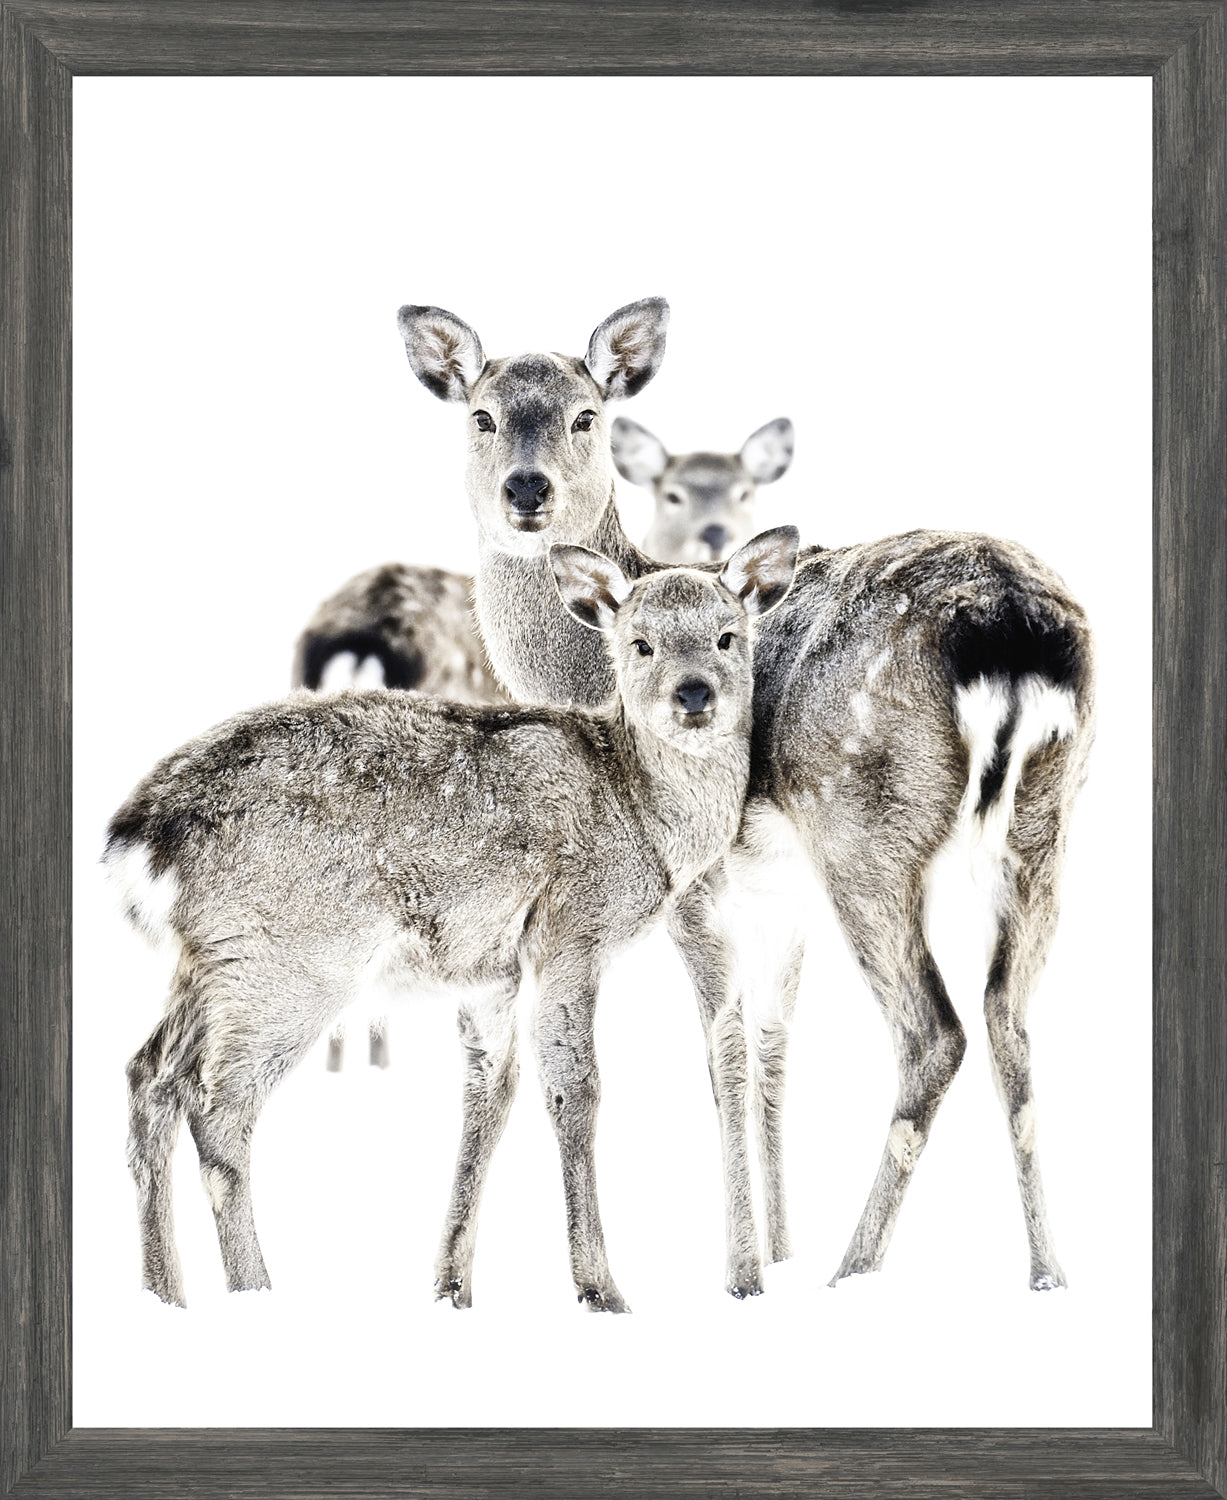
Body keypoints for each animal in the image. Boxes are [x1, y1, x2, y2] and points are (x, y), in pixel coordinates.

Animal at [107, 529, 799, 1310]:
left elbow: (489, 1096)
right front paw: (601, 1290)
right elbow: (575, 1088)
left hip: (208, 962)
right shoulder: (571, 929)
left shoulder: (487, 971)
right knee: (217, 1106)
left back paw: (163, 1293)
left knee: (149, 1077)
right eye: (640, 643)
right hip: (291, 960)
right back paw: (256, 1289)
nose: (694, 695)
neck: (644, 817)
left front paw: (451, 1286)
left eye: (727, 636)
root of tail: (141, 839)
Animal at [393, 296, 1096, 1298]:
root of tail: (1009, 627)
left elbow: (722, 1048)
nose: (525, 492)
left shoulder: (701, 879)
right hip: (1050, 822)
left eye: (584, 415)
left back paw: (854, 1267)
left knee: (935, 1032)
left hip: (865, 828)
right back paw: (1045, 1274)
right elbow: (771, 1043)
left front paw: (741, 1271)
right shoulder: (776, 891)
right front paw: (776, 1248)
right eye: (480, 416)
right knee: (1011, 1019)